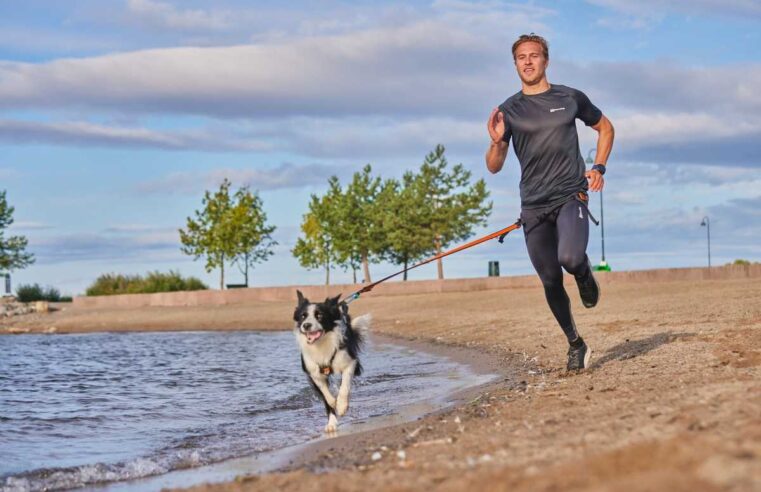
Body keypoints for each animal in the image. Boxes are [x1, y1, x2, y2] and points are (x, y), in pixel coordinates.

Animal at [292, 290, 370, 432]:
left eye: (319, 315)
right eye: (302, 316)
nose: (306, 325)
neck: (321, 344)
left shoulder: (350, 362)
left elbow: (344, 386)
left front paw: (342, 405)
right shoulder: (313, 372)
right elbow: (325, 394)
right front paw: (333, 411)